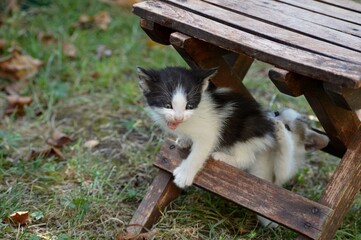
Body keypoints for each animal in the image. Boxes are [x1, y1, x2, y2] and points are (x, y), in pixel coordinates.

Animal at [136, 66, 274, 188]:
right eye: (167, 105)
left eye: (189, 106)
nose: (179, 117)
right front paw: (184, 140)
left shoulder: (209, 133)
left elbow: (198, 154)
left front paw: (184, 175)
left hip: (246, 129)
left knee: (246, 159)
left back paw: (222, 157)